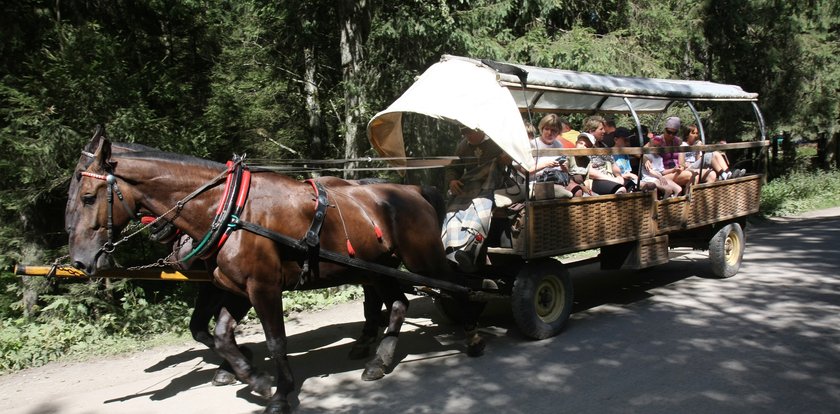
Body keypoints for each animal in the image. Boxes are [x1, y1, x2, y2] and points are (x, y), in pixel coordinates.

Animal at [65, 137, 482, 414]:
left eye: (87, 196)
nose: (81, 261)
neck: (229, 211)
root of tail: (412, 189)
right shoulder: (234, 288)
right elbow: (219, 336)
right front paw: (253, 376)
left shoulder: (263, 288)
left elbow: (276, 341)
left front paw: (281, 392)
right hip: (378, 266)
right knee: (395, 303)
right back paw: (377, 359)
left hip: (423, 259)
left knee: (458, 289)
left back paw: (473, 337)